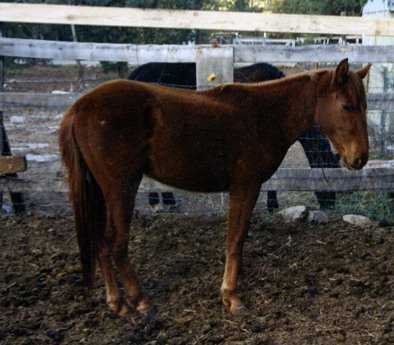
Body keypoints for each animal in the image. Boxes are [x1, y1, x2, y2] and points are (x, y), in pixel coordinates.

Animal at [58, 58, 370, 314]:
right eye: (345, 105)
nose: (360, 158)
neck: (265, 114)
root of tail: (79, 107)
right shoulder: (245, 187)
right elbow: (235, 238)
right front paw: (231, 296)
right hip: (121, 188)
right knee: (116, 243)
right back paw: (139, 301)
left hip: (101, 190)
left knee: (100, 241)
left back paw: (117, 303)